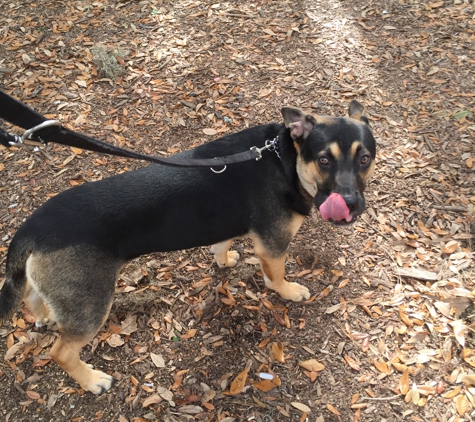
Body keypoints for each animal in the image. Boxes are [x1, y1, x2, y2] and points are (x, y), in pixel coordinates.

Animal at [0, 100, 378, 394]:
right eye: (324, 160)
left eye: (365, 159)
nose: (350, 205)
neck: (285, 156)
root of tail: (31, 231)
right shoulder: (273, 246)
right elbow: (276, 278)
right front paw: (289, 291)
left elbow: (222, 246)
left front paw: (224, 260)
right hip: (91, 307)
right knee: (61, 353)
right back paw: (92, 380)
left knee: (31, 297)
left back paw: (44, 316)